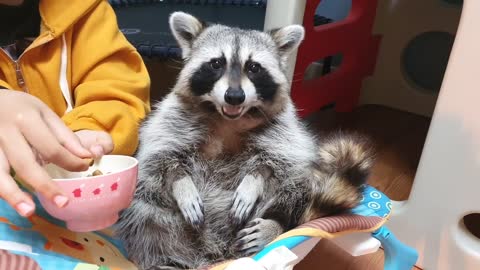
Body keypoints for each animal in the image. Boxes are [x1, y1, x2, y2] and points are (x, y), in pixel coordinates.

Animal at [116, 11, 376, 268]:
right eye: (216, 63)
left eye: (253, 67)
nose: (234, 96)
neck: (228, 118)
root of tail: (217, 252)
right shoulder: (173, 119)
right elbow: (163, 156)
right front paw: (182, 184)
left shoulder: (283, 129)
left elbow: (278, 160)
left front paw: (254, 181)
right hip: (157, 214)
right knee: (146, 214)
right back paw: (166, 260)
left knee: (295, 186)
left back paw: (276, 225)